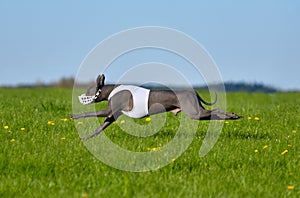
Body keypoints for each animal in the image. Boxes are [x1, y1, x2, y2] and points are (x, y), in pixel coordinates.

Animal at [70, 73, 241, 140]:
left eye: (88, 90)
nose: (81, 95)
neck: (110, 90)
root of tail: (193, 92)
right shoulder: (112, 115)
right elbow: (100, 127)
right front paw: (86, 137)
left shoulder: (108, 110)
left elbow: (89, 114)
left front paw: (73, 116)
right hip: (197, 110)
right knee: (214, 114)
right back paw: (233, 116)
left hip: (194, 111)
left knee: (215, 111)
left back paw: (232, 115)